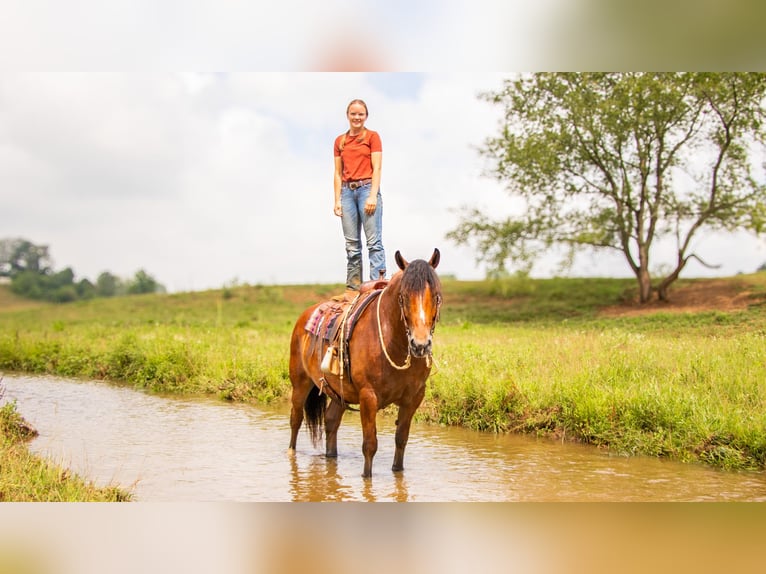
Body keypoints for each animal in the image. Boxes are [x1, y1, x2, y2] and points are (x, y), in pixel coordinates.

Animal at [288, 250, 444, 480]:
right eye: (403, 297)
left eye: (436, 296)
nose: (420, 345)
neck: (392, 340)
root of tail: (304, 316)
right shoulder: (368, 397)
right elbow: (370, 444)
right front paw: (366, 478)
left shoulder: (414, 398)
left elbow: (401, 439)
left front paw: (398, 472)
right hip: (300, 383)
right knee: (296, 419)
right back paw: (291, 453)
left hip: (339, 392)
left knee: (331, 421)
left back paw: (331, 457)